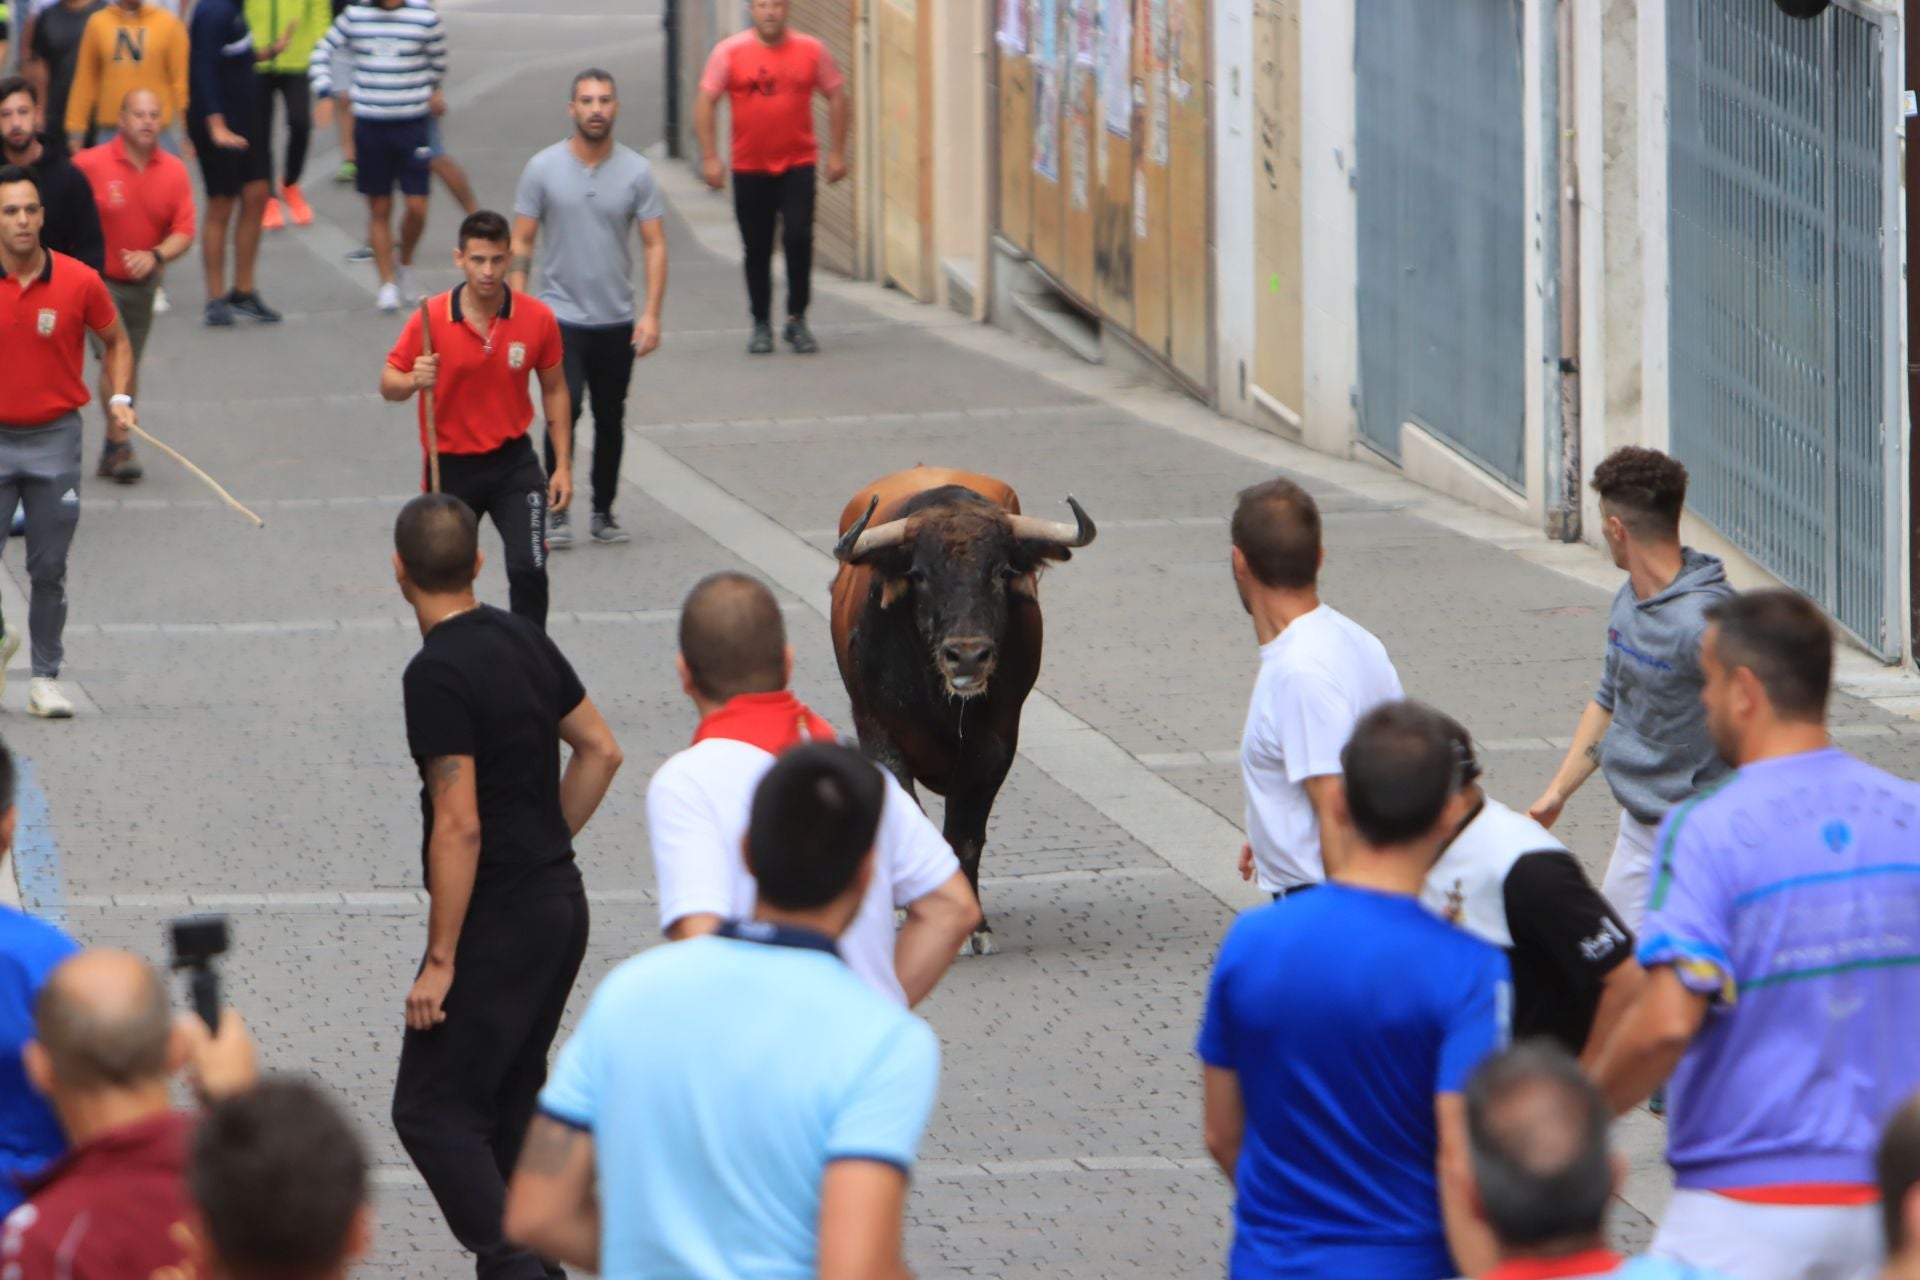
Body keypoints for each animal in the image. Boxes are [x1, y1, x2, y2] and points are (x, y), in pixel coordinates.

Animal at [825, 466, 1098, 955]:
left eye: (1001, 571)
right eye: (920, 574)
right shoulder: (878, 733)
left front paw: (975, 927)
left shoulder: (995, 745)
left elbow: (965, 835)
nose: (968, 657)